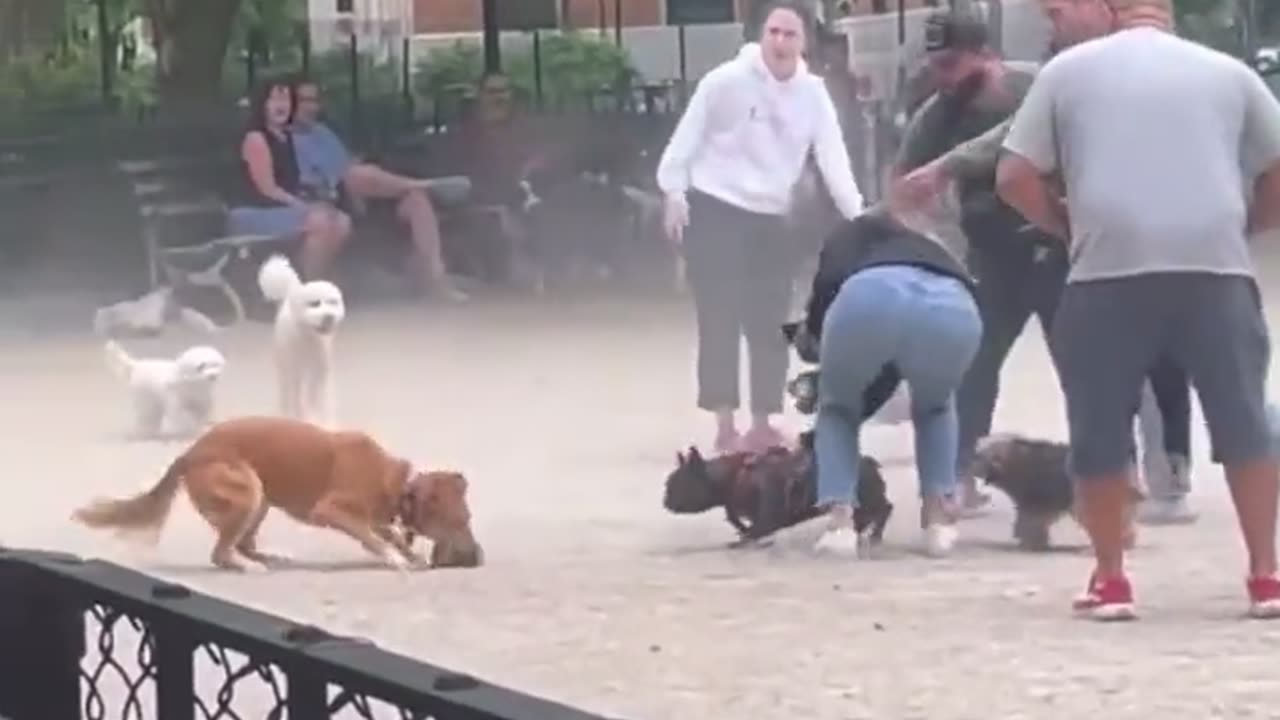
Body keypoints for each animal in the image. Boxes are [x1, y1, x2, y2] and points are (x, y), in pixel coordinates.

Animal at [74, 415, 483, 571]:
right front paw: (396, 558)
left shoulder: (376, 516)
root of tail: (190, 454)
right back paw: (248, 566)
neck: (397, 486)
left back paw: (269, 557)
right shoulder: (331, 510)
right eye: (459, 521)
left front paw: (407, 552)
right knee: (222, 553)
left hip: (261, 500)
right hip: (249, 491)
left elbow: (389, 532)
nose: (478, 556)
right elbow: (374, 537)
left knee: (241, 543)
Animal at [257, 253, 345, 425]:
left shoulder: (320, 372)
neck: (309, 339)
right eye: (314, 304)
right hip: (284, 366)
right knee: (286, 391)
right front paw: (303, 419)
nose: (329, 316)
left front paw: (325, 422)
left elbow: (320, 400)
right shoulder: (296, 372)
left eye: (333, 302)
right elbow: (299, 400)